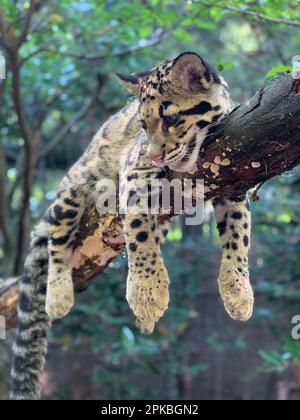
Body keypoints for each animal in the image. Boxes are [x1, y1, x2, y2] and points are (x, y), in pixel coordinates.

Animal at [10, 53, 253, 400]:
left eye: (171, 119)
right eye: (142, 125)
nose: (154, 154)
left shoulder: (235, 181)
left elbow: (239, 236)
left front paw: (238, 290)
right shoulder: (135, 176)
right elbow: (139, 235)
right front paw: (147, 291)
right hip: (71, 191)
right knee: (57, 240)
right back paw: (57, 296)